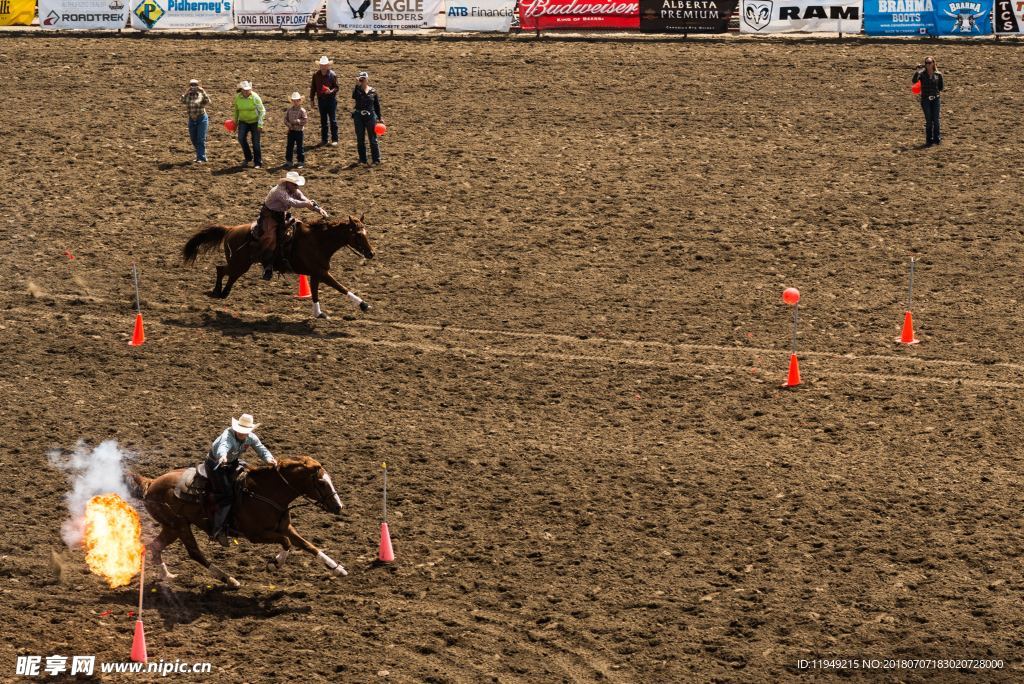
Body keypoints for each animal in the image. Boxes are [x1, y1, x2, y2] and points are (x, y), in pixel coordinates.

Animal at [122, 456, 348, 585]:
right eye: (321, 482)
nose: (339, 507)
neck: (265, 493)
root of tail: (151, 484)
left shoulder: (285, 527)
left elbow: (308, 545)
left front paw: (338, 568)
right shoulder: (257, 535)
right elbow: (287, 543)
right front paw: (274, 564)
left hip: (171, 528)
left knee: (155, 546)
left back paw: (167, 576)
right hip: (179, 525)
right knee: (194, 553)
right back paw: (229, 579)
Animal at [184, 214, 376, 321]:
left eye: (366, 232)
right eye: (358, 235)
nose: (371, 253)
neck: (318, 241)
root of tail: (231, 229)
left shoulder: (316, 274)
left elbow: (315, 293)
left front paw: (318, 313)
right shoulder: (322, 273)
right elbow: (340, 287)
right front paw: (364, 305)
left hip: (240, 265)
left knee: (228, 274)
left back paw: (224, 293)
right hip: (239, 263)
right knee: (221, 269)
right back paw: (217, 292)